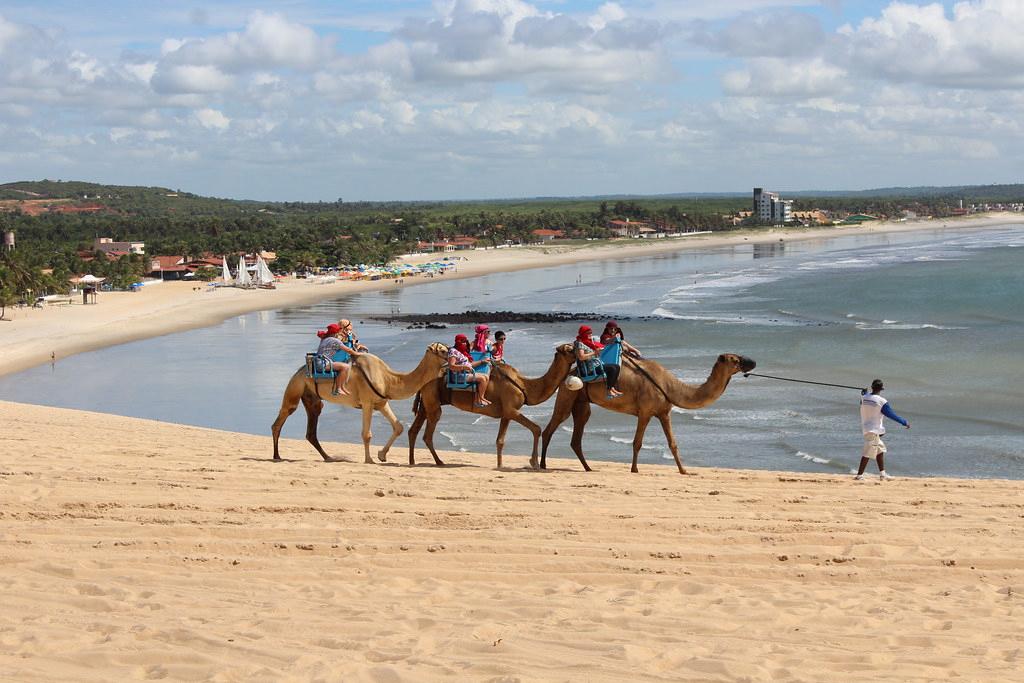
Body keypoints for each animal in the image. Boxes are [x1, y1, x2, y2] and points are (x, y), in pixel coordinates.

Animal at [272, 344, 448, 462]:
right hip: (295, 388)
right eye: (443, 351)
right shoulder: (367, 402)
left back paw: (328, 457)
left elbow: (398, 427)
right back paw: (277, 455)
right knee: (282, 418)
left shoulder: (381, 403)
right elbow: (366, 434)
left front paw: (381, 455)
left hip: (312, 398)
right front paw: (369, 460)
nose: (451, 358)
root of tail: (299, 371)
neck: (388, 379)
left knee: (311, 429)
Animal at [409, 342, 585, 471]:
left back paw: (412, 461)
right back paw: (439, 462)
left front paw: (500, 465)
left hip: (426, 402)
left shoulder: (506, 414)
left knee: (414, 430)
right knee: (428, 434)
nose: (582, 351)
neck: (525, 385)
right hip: (433, 402)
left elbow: (500, 440)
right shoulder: (512, 409)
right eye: (570, 348)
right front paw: (533, 462)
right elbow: (536, 428)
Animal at [540, 352, 757, 475]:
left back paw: (588, 468)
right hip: (567, 394)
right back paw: (541, 464)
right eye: (735, 359)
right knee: (551, 427)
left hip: (582, 402)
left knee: (577, 436)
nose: (753, 362)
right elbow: (637, 442)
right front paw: (635, 469)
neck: (670, 386)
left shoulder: (664, 413)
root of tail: (569, 373)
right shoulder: (645, 411)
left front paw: (685, 471)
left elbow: (673, 443)